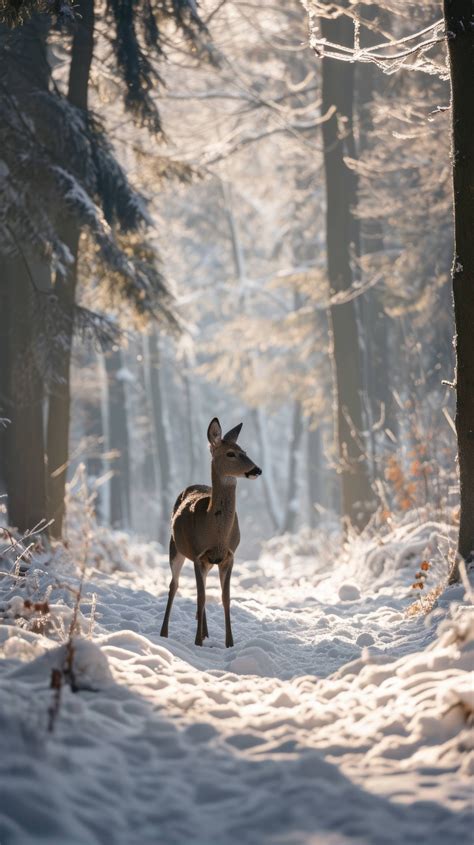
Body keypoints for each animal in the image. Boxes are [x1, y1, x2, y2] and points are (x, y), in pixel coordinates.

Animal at [160, 416, 262, 648]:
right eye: (230, 453)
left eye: (244, 450)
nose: (257, 470)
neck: (216, 534)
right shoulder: (198, 554)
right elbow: (200, 597)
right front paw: (197, 642)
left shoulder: (229, 556)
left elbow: (225, 598)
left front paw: (229, 643)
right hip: (174, 547)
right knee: (174, 585)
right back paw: (164, 632)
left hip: (205, 562)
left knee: (202, 588)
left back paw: (205, 631)